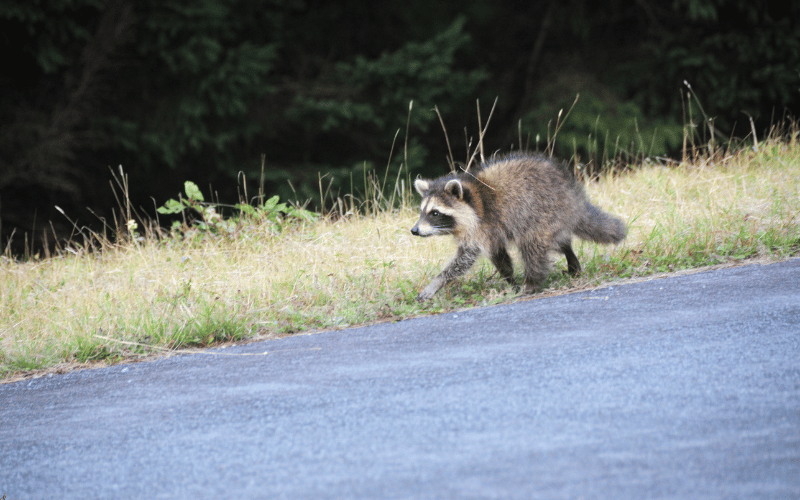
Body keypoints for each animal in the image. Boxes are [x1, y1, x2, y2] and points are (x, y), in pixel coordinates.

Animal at [410, 152, 628, 300]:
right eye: (422, 211)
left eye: (435, 213)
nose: (414, 230)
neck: (475, 197)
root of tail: (571, 196)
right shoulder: (491, 232)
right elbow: (499, 256)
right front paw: (510, 281)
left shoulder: (483, 224)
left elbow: (464, 259)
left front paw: (438, 280)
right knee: (558, 241)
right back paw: (569, 256)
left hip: (540, 213)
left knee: (532, 246)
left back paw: (532, 281)